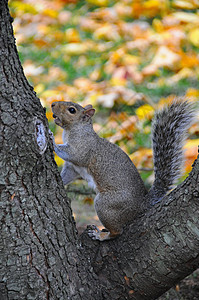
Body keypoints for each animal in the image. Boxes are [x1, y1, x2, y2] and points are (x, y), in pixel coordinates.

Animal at [49, 101, 194, 241]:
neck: (74, 129)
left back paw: (101, 235)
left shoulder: (82, 149)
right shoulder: (73, 168)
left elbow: (72, 153)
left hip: (107, 205)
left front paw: (52, 139)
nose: (53, 104)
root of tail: (140, 206)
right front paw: (61, 181)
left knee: (117, 232)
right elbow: (68, 174)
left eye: (72, 110)